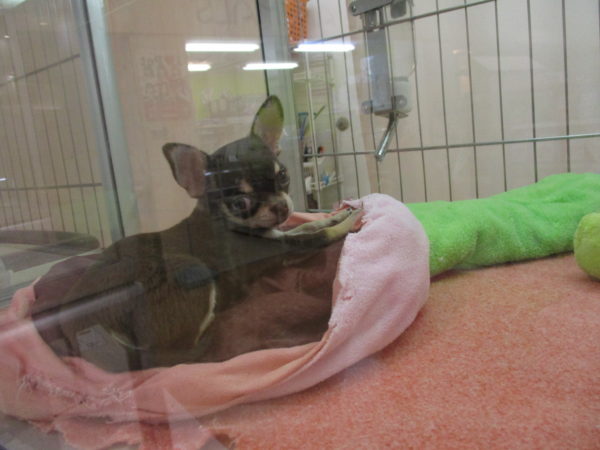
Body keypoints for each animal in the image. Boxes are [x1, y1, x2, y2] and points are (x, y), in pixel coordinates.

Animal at [31, 96, 360, 372]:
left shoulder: (278, 235)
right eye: (240, 203)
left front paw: (337, 214)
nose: (280, 207)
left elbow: (306, 225)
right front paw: (350, 221)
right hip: (189, 270)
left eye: (282, 175)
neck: (227, 222)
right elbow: (318, 236)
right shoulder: (281, 250)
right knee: (173, 358)